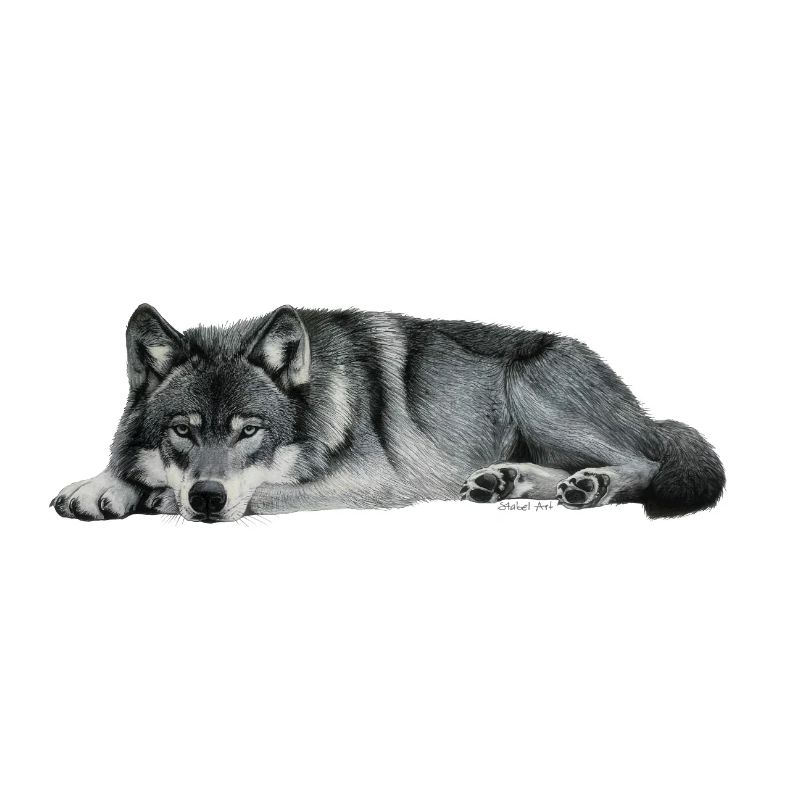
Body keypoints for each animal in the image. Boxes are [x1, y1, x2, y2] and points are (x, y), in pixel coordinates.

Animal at [51, 304, 724, 523]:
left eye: (250, 431)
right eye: (184, 430)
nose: (208, 498)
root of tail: (644, 408)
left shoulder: (374, 483)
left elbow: (261, 492)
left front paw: (153, 497)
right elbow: (126, 466)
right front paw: (99, 487)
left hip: (535, 391)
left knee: (645, 462)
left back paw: (593, 485)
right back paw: (503, 481)